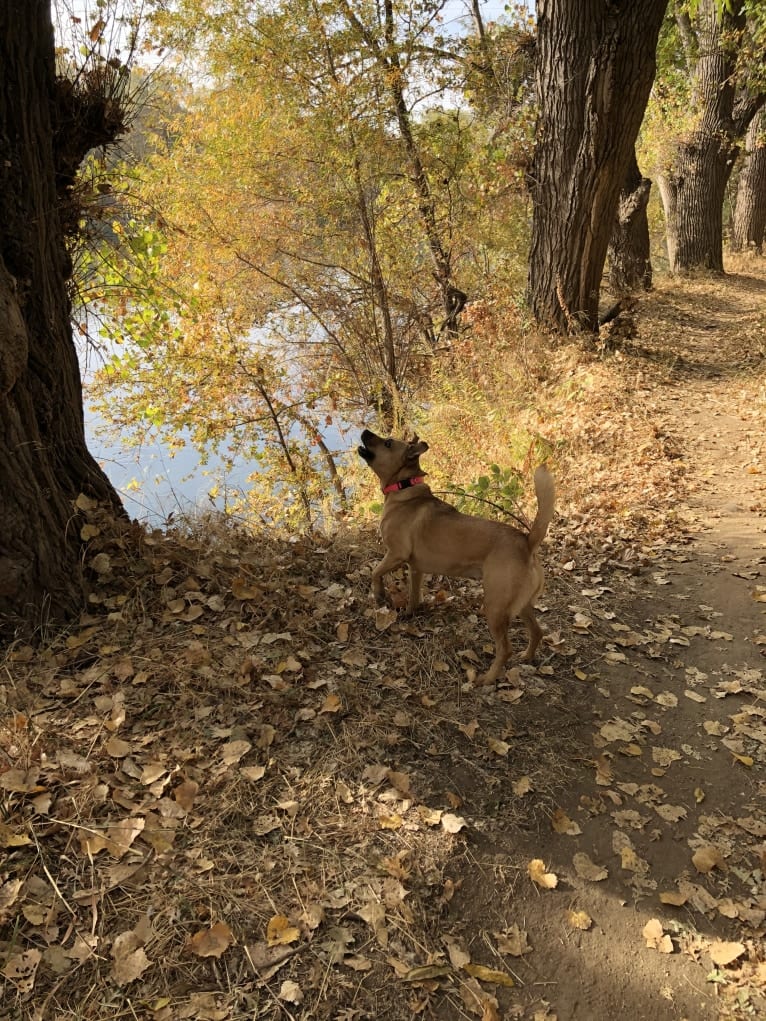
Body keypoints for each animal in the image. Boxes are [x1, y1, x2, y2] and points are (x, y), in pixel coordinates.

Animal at [357, 430, 555, 686]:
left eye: (388, 442)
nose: (365, 432)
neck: (404, 487)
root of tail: (527, 541)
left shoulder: (395, 554)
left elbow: (375, 572)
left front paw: (380, 595)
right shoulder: (415, 568)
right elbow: (413, 595)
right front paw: (410, 613)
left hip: (495, 606)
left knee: (505, 649)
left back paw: (487, 679)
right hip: (520, 604)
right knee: (537, 631)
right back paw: (527, 656)